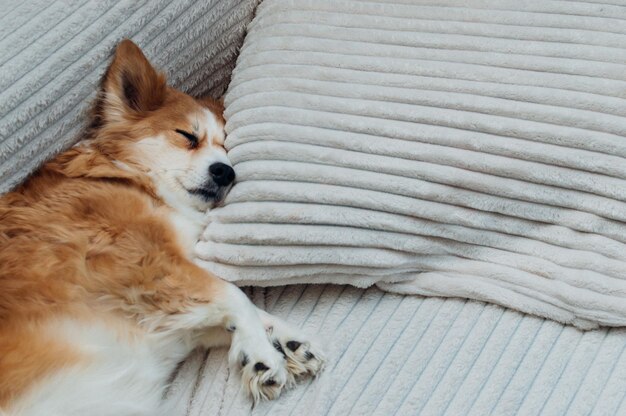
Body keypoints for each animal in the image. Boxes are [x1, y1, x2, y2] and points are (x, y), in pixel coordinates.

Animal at [0, 39, 322, 416]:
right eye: (187, 136)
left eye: (228, 147)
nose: (225, 172)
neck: (136, 180)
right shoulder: (139, 263)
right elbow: (234, 294)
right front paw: (260, 354)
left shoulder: (166, 310)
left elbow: (243, 309)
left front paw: (286, 339)